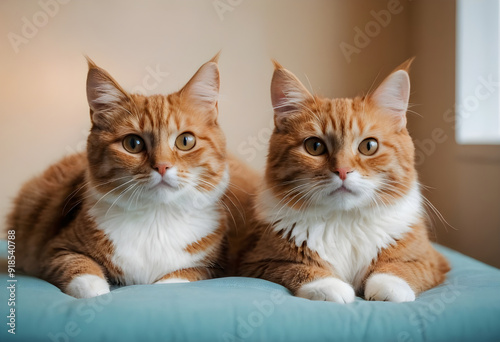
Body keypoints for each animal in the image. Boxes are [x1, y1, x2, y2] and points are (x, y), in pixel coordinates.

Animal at [6, 54, 230, 298]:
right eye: (133, 143)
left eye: (185, 141)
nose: (162, 166)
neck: (155, 219)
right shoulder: (55, 249)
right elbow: (80, 268)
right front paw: (98, 293)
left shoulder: (211, 267)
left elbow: (178, 278)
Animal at [232, 60, 452, 304]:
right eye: (314, 146)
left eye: (369, 146)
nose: (343, 170)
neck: (344, 221)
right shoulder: (256, 261)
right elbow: (298, 268)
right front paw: (330, 287)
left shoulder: (431, 259)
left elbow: (400, 268)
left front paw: (389, 287)